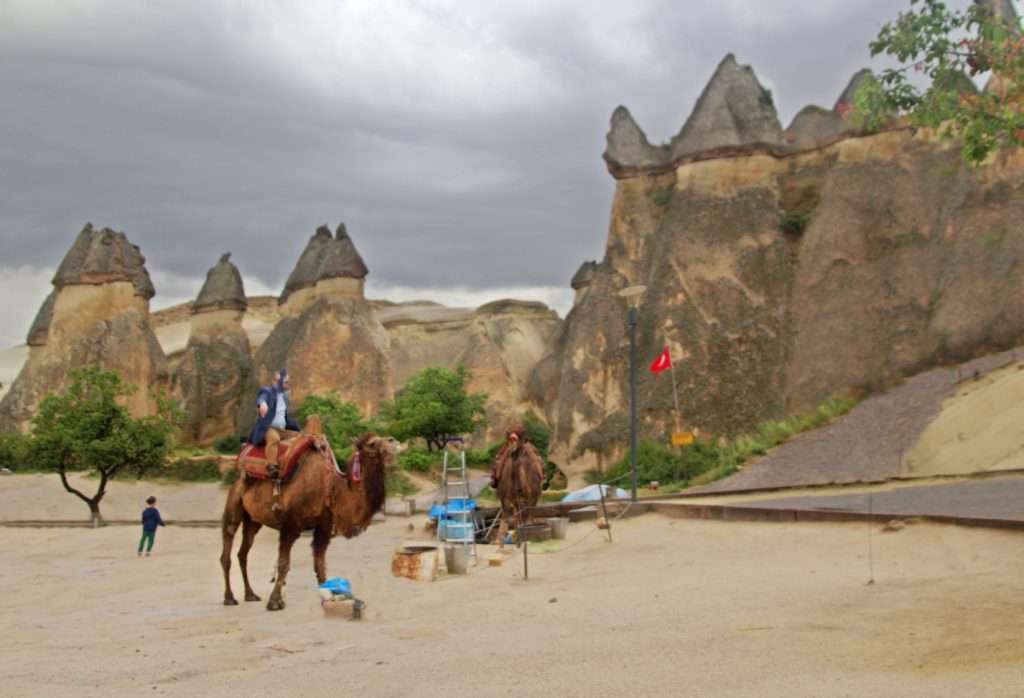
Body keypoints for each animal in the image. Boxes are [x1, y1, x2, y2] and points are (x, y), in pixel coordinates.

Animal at [220, 423, 399, 609]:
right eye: (372, 443)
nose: (393, 441)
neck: (332, 488)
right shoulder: (290, 524)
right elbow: (284, 563)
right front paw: (275, 601)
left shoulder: (323, 527)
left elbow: (320, 563)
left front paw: (328, 596)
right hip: (234, 500)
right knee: (227, 546)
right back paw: (229, 597)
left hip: (253, 519)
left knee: (243, 553)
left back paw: (250, 594)